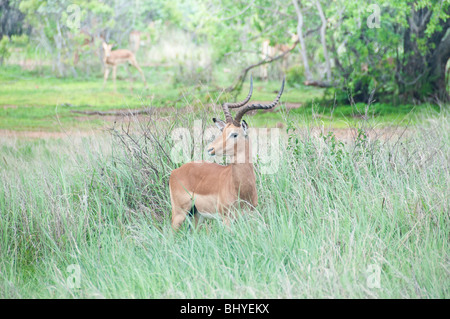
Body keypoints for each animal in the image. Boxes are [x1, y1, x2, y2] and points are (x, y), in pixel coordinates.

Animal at [169, 77, 284, 232]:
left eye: (234, 134)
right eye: (222, 132)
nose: (210, 149)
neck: (241, 189)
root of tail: (175, 172)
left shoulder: (250, 216)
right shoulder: (226, 220)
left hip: (197, 215)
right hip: (179, 214)